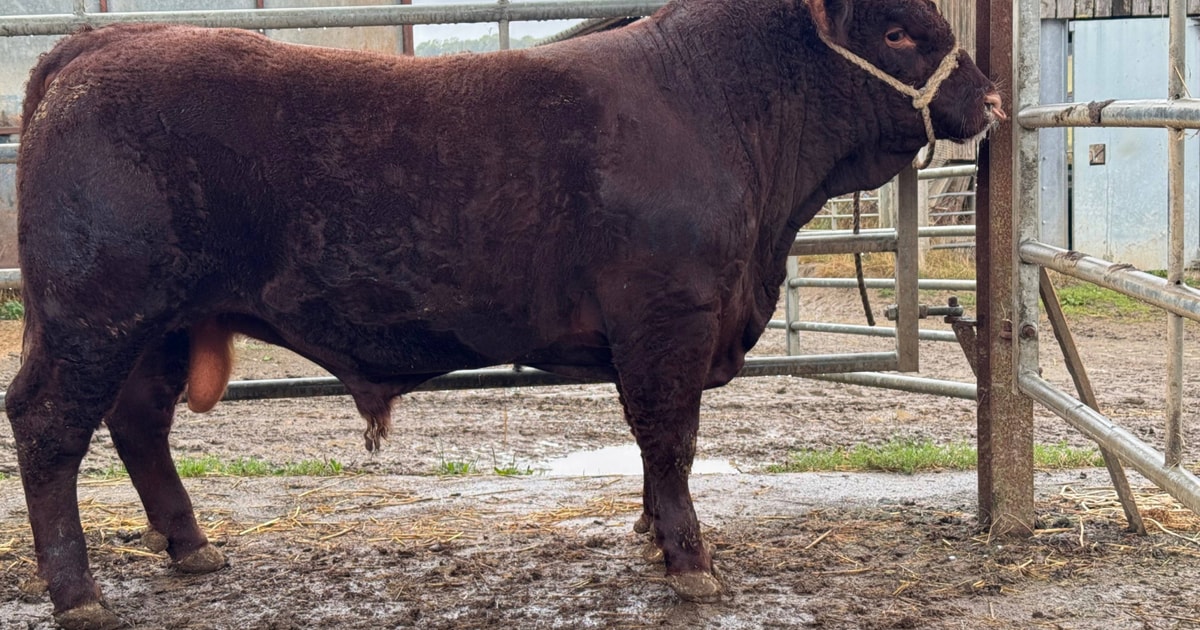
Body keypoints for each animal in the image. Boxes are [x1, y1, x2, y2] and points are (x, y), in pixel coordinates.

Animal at [7, 0, 1004, 627]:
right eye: (898, 30)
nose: (990, 97)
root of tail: (92, 48)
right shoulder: (669, 321)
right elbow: (671, 440)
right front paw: (690, 562)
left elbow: (657, 450)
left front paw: (655, 539)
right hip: (95, 314)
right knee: (50, 427)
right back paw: (79, 592)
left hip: (161, 323)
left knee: (139, 423)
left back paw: (190, 547)